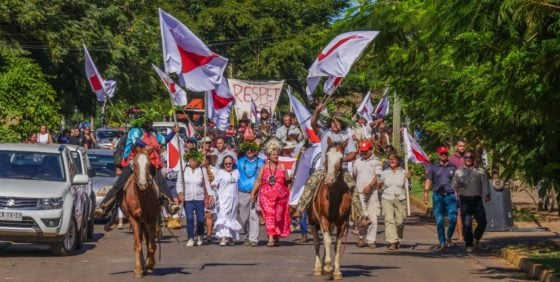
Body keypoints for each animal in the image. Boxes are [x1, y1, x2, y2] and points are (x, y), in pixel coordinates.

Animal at [120, 148, 160, 278]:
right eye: (135, 164)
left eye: (149, 164)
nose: (142, 185)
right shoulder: (133, 219)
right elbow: (137, 245)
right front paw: (138, 270)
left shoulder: (152, 218)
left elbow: (152, 245)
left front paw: (150, 264)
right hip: (140, 222)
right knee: (141, 240)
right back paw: (142, 265)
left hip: (145, 221)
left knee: (147, 240)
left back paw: (147, 265)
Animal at [308, 137, 352, 280]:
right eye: (327, 156)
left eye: (341, 158)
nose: (329, 179)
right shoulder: (323, 219)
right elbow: (327, 241)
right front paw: (327, 266)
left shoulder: (342, 223)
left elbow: (337, 245)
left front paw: (336, 271)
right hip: (312, 222)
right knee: (317, 242)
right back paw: (318, 268)